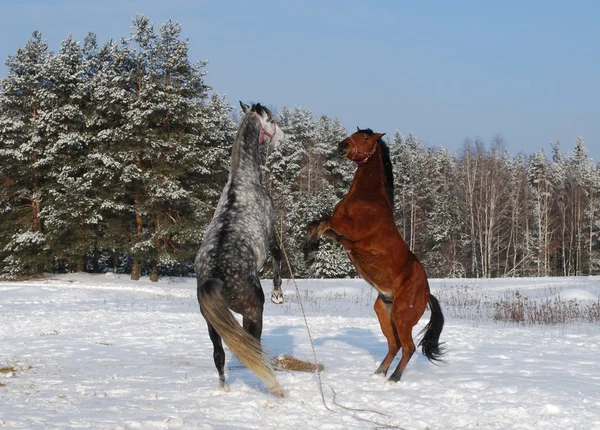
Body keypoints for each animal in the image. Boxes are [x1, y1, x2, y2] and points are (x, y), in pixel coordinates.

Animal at [308, 127, 442, 382]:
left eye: (366, 137)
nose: (342, 146)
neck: (367, 198)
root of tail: (427, 293)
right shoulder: (340, 235)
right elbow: (320, 223)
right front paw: (309, 243)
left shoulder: (348, 230)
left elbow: (325, 220)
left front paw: (310, 244)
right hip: (384, 312)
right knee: (394, 345)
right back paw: (378, 373)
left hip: (402, 314)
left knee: (408, 347)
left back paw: (393, 378)